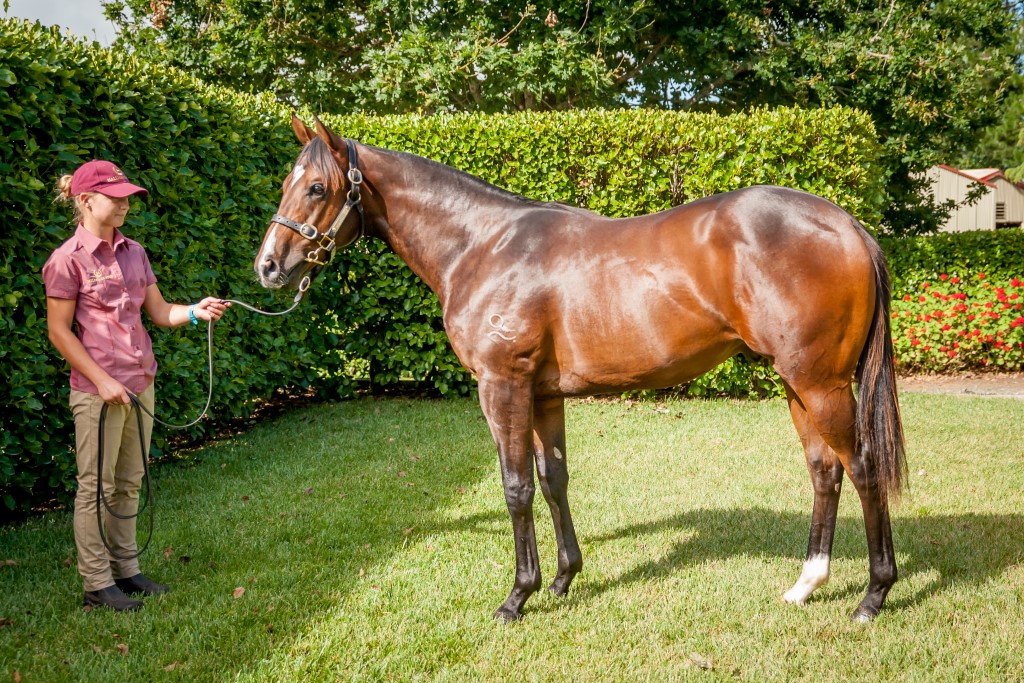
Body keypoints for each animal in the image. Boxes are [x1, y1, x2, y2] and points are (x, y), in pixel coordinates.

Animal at [254, 115, 907, 623]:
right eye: (287, 183)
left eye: (316, 188)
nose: (268, 267)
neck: (482, 245)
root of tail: (848, 225)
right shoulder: (544, 394)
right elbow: (553, 479)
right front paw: (565, 578)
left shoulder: (502, 386)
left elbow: (516, 485)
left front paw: (518, 596)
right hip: (797, 383)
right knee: (825, 470)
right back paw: (806, 584)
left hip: (820, 384)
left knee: (863, 466)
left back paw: (874, 595)